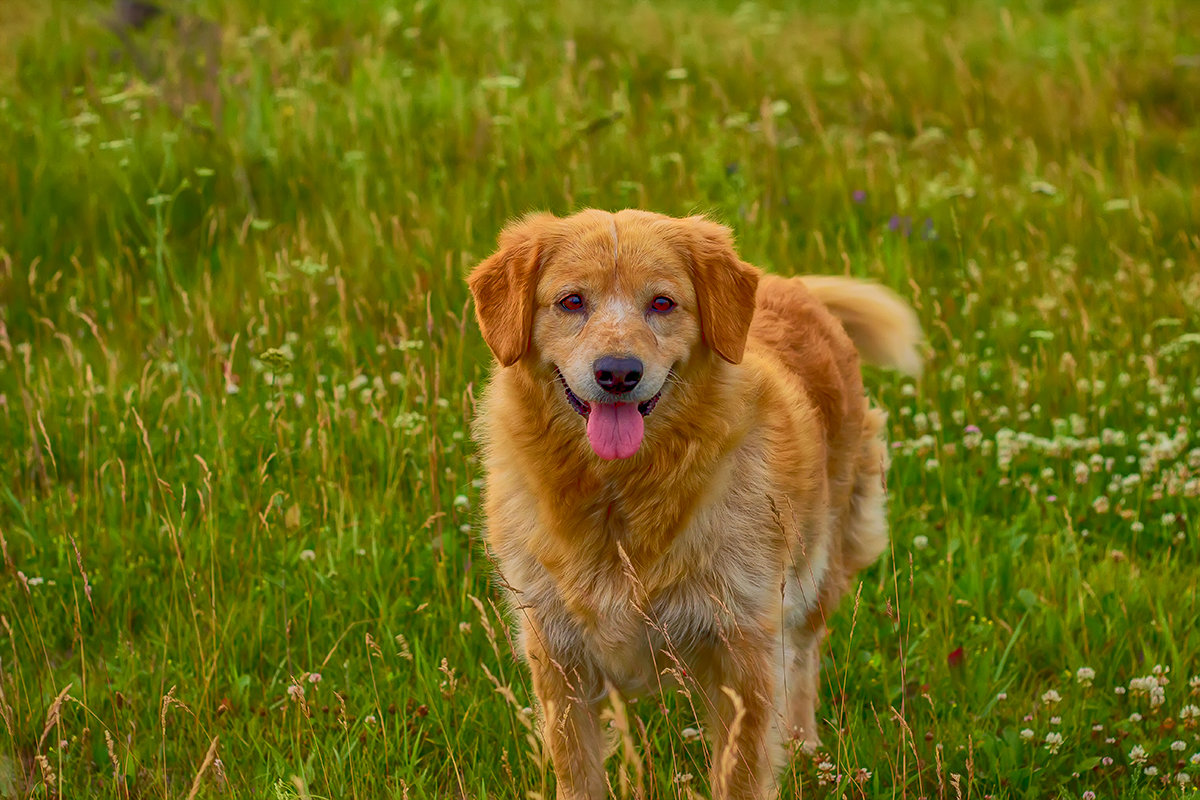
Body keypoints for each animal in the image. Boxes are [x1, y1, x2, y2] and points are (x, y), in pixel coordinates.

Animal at [465, 209, 916, 796]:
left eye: (662, 303)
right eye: (571, 301)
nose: (618, 372)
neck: (621, 496)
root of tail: (793, 286)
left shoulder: (743, 646)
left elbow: (740, 770)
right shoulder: (558, 650)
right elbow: (577, 770)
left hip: (818, 561)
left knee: (803, 653)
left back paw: (803, 745)